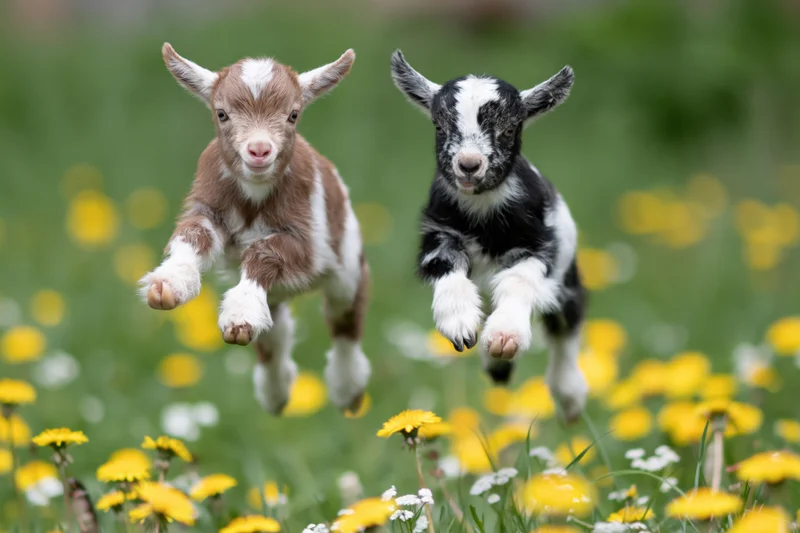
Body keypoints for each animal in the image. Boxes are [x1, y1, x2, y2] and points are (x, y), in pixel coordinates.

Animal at [140, 44, 370, 415]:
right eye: (222, 114)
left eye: (293, 114)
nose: (259, 150)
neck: (255, 193)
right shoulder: (208, 208)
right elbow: (192, 235)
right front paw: (169, 284)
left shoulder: (307, 244)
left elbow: (263, 250)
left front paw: (240, 313)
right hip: (279, 295)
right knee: (276, 332)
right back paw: (275, 392)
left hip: (346, 262)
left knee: (345, 319)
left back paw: (346, 389)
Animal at [390, 50, 588, 421]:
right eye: (440, 126)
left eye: (509, 128)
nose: (469, 164)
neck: (483, 213)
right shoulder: (439, 234)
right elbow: (447, 270)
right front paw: (459, 324)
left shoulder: (537, 247)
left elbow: (518, 282)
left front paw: (505, 336)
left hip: (568, 280)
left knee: (567, 327)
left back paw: (569, 395)